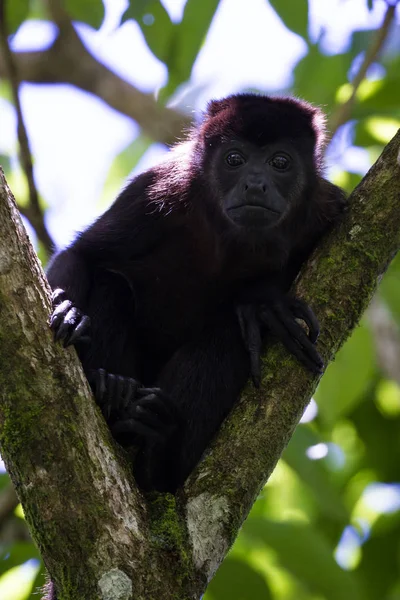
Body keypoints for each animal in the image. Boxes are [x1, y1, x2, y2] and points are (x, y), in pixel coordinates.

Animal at [47, 94, 346, 494]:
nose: (255, 184)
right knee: (111, 286)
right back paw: (111, 392)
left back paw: (158, 449)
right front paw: (70, 310)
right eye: (234, 159)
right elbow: (83, 255)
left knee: (227, 334)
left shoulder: (325, 209)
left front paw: (262, 299)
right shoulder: (155, 192)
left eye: (280, 162)